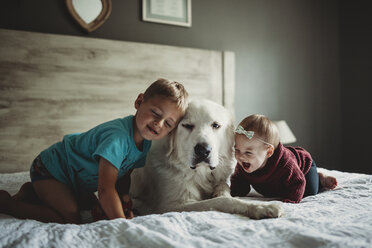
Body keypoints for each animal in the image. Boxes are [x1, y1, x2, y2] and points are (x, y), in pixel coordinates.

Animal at [129, 99, 284, 219]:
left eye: (215, 125)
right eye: (187, 126)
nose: (203, 150)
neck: (200, 174)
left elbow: (224, 189)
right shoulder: (170, 206)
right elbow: (221, 201)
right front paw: (262, 207)